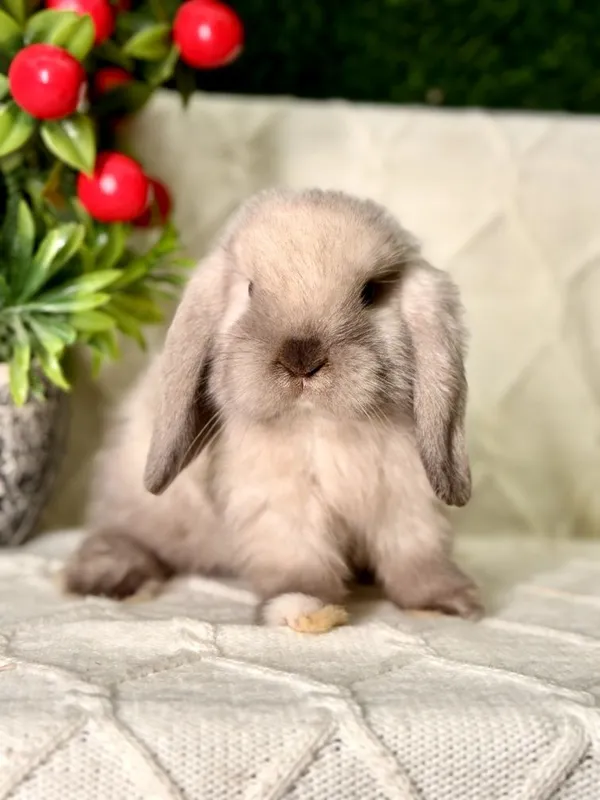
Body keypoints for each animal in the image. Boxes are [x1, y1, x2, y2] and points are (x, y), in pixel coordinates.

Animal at [65, 188, 483, 628]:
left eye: (370, 293)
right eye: (250, 289)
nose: (302, 358)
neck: (322, 425)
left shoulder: (406, 496)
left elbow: (415, 553)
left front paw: (443, 602)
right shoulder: (280, 504)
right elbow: (299, 560)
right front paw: (305, 608)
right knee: (118, 535)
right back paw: (109, 579)